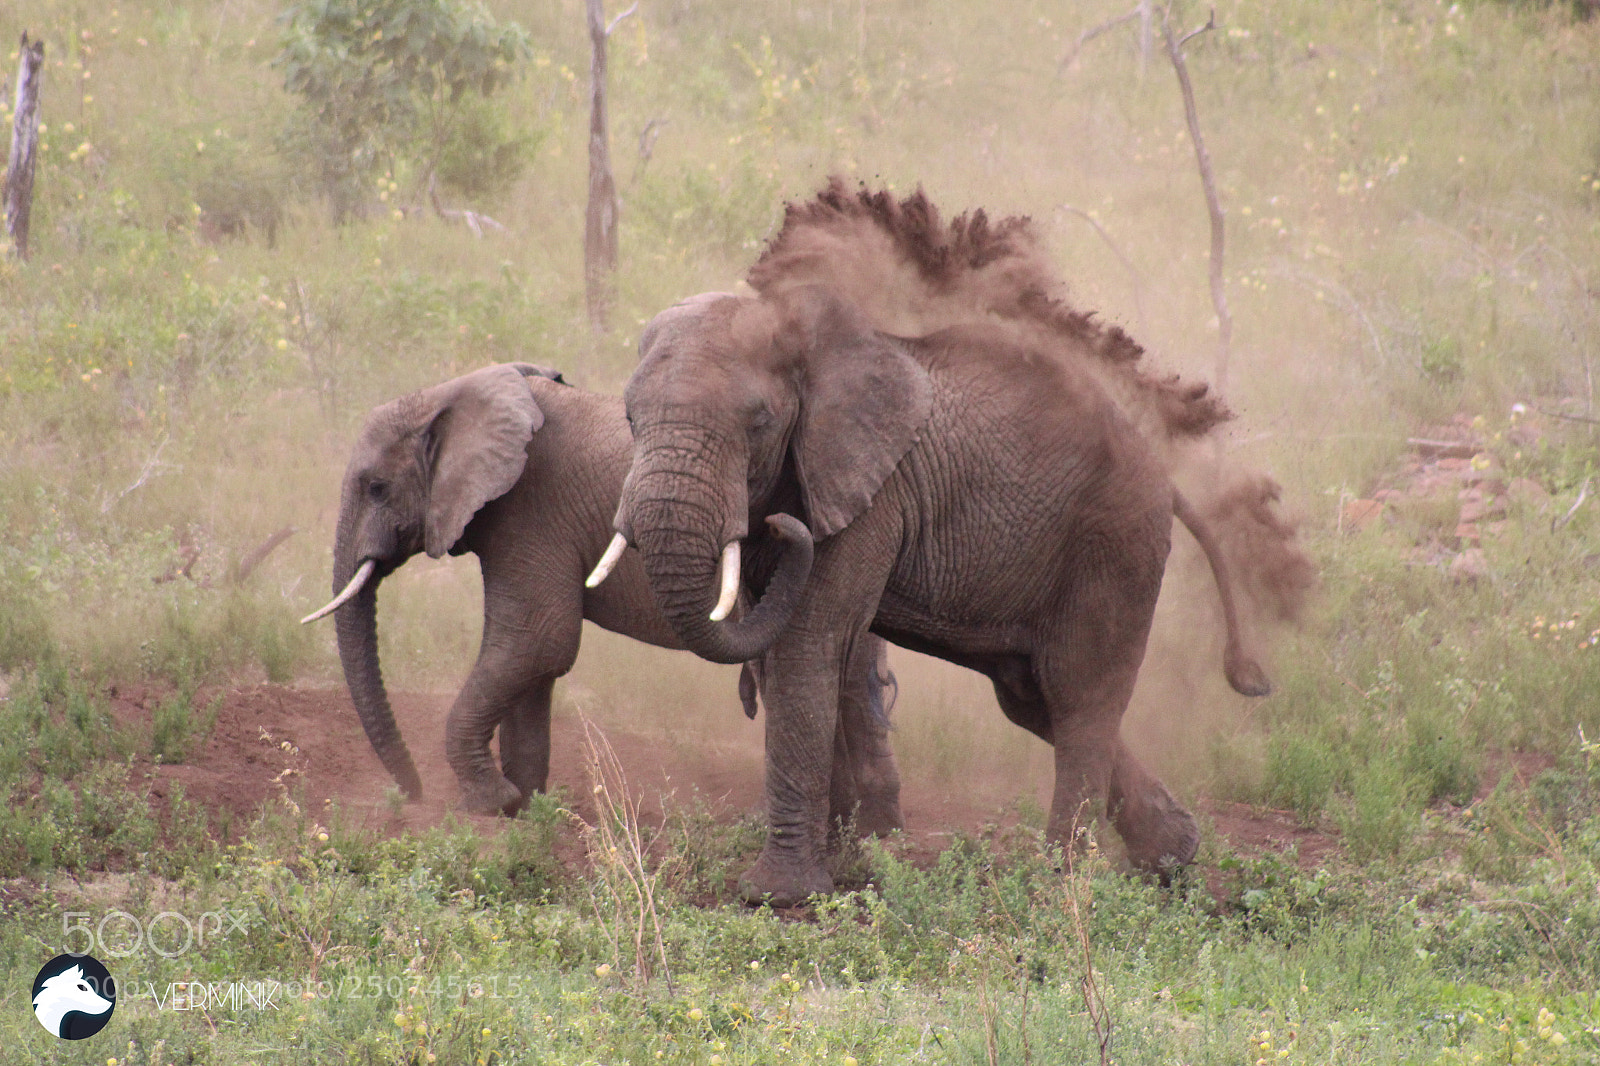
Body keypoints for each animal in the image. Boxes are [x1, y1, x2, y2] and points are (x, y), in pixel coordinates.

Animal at [302, 361, 903, 832]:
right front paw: (526, 808)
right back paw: (870, 833)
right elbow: (531, 665)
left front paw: (489, 804)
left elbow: (537, 643)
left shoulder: (531, 510)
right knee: (849, 679)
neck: (452, 393)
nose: (412, 795)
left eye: (376, 487)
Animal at [590, 286, 1274, 906]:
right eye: (629, 420)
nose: (787, 527)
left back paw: (1061, 885)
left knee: (1079, 697)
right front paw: (844, 867)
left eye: (757, 423)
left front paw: (780, 896)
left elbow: (808, 645)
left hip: (1114, 544)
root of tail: (1163, 473)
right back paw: (1171, 857)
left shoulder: (871, 494)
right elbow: (788, 653)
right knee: (1034, 698)